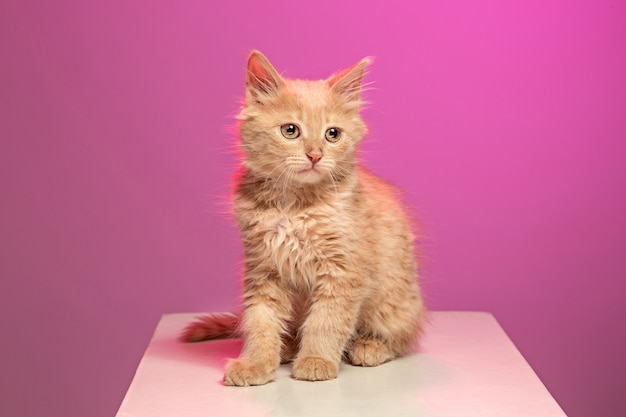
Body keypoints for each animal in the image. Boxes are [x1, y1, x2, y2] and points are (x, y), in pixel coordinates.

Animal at [180, 50, 424, 386]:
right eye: (290, 130)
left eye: (332, 134)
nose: (315, 155)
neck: (294, 206)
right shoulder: (263, 269)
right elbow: (260, 321)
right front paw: (256, 363)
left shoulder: (343, 271)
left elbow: (326, 321)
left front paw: (316, 361)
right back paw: (288, 347)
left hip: (395, 302)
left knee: (401, 338)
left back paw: (369, 346)